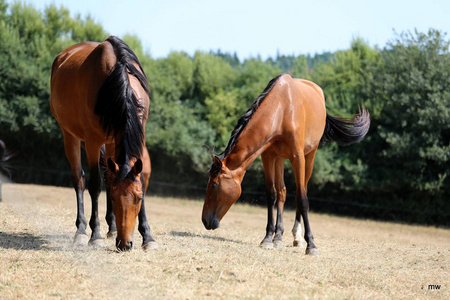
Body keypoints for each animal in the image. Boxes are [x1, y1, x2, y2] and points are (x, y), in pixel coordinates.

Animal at [50, 35, 156, 251]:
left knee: (108, 175)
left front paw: (148, 237)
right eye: (114, 198)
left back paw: (112, 228)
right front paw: (95, 235)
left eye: (139, 198)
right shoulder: (92, 140)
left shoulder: (137, 136)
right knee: (79, 179)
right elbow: (95, 185)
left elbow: (138, 180)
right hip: (70, 135)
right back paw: (82, 231)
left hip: (111, 143)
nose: (125, 244)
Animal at [202, 74, 370, 255]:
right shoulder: (268, 156)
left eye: (214, 185)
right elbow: (272, 195)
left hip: (309, 156)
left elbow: (302, 198)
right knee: (281, 192)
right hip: (280, 159)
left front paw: (311, 245)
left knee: (302, 191)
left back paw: (297, 238)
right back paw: (278, 237)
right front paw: (268, 238)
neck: (282, 111)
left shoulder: (298, 157)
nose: (205, 220)